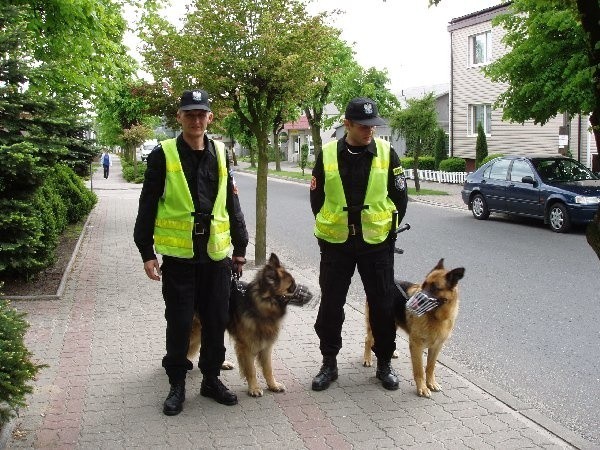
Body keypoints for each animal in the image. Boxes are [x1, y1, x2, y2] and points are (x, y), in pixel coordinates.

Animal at [189, 253, 298, 398]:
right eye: (291, 287)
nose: (300, 289)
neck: (259, 306)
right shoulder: (246, 346)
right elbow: (251, 370)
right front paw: (254, 388)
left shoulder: (266, 345)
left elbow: (268, 368)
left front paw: (273, 385)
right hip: (195, 331)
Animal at [360, 258, 464, 400]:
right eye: (423, 285)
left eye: (434, 288)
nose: (413, 304)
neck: (436, 317)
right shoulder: (416, 346)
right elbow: (419, 370)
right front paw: (422, 388)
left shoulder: (436, 347)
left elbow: (430, 367)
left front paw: (431, 383)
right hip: (375, 323)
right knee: (368, 340)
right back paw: (367, 358)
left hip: (392, 324)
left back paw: (392, 352)